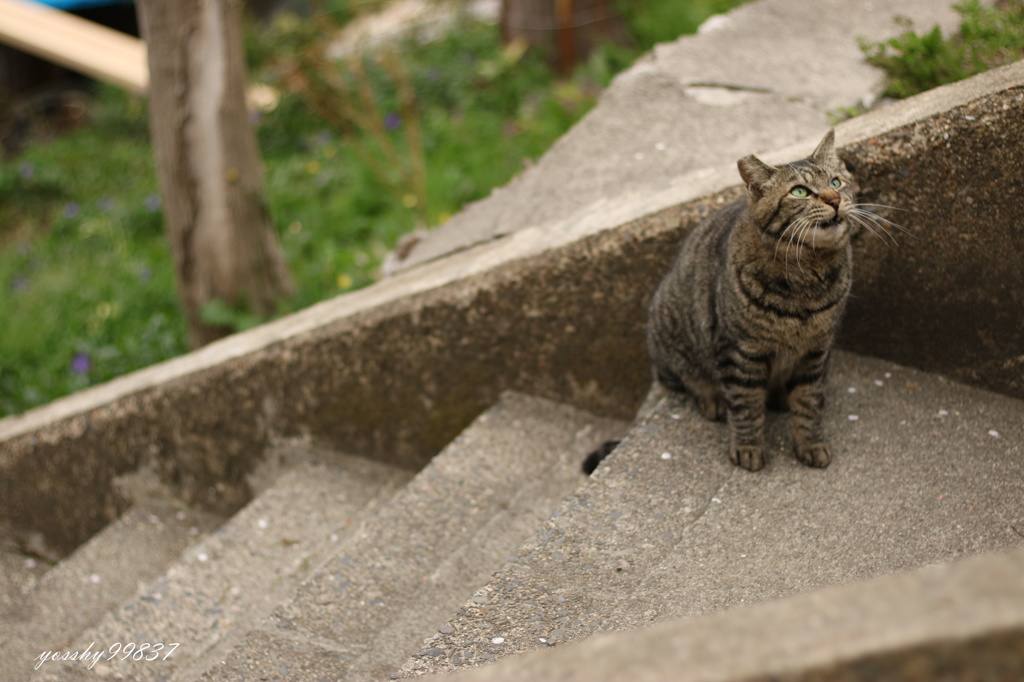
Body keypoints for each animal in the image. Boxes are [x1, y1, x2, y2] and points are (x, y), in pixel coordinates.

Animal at [647, 131, 856, 473]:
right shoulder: (739, 351)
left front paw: (810, 443)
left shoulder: (816, 350)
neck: (808, 278)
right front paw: (748, 448)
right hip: (673, 340)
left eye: (836, 182)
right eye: (800, 192)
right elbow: (745, 405)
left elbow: (809, 403)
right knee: (688, 379)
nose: (835, 200)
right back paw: (713, 400)